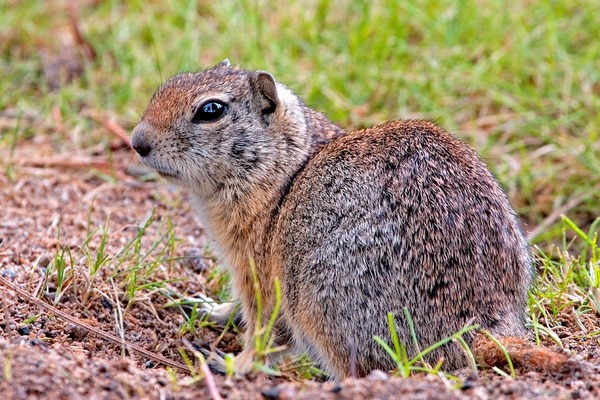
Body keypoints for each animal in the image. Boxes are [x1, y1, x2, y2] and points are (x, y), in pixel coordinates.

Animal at [130, 61, 528, 380]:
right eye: (168, 85)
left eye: (211, 110)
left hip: (320, 301)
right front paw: (207, 307)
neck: (285, 171)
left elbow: (264, 330)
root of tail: (484, 329)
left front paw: (231, 364)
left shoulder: (259, 271)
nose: (137, 141)